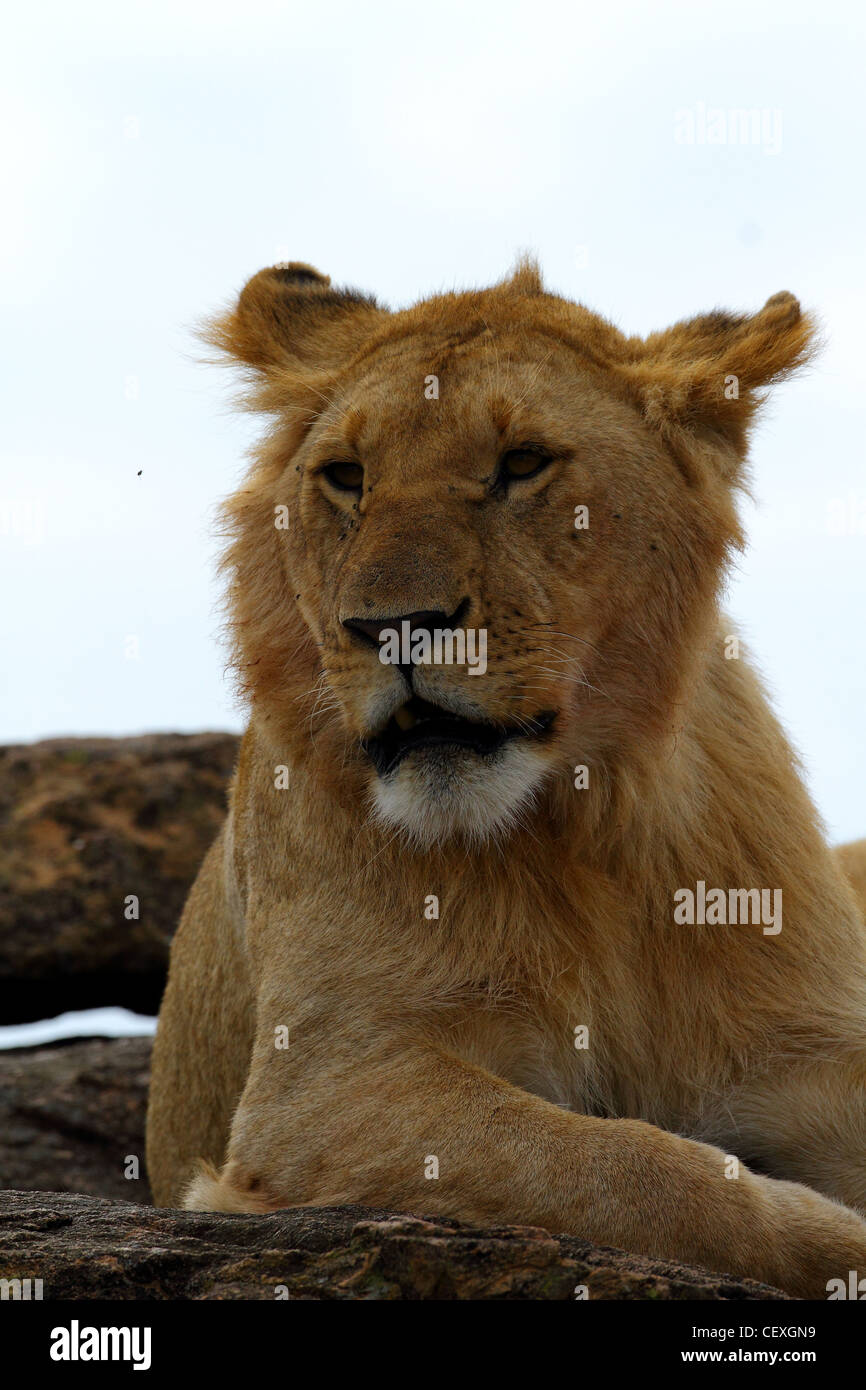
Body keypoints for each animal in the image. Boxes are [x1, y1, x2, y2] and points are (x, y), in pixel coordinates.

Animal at [146, 259, 866, 1299]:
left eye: (523, 463)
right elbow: (644, 1172)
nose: (393, 626)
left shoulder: (811, 1055)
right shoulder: (322, 1084)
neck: (585, 820)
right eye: (347, 477)